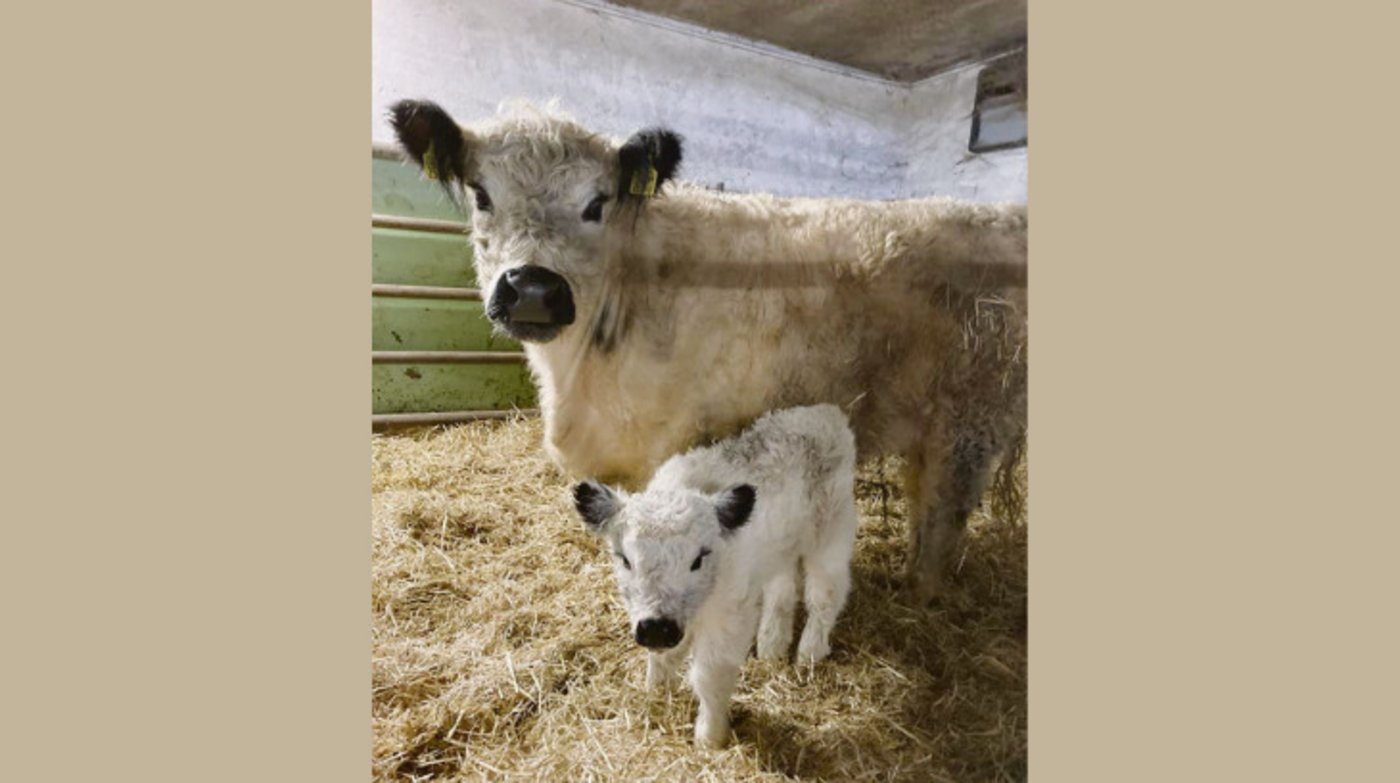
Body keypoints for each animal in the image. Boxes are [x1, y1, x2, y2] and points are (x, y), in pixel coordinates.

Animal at [389, 99, 1027, 604]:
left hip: (969, 420)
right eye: (482, 195)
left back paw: (923, 595)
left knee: (944, 512)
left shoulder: (681, 440)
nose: (533, 289)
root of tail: (1001, 214)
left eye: (597, 203)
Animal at [573, 404, 859, 749]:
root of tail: (825, 412)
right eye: (625, 559)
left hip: (831, 532)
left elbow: (710, 675)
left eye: (699, 558)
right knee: (783, 587)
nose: (655, 628)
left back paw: (810, 653)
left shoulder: (729, 616)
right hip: (780, 546)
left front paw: (710, 737)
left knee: (826, 593)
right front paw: (656, 695)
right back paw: (772, 645)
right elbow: (663, 659)